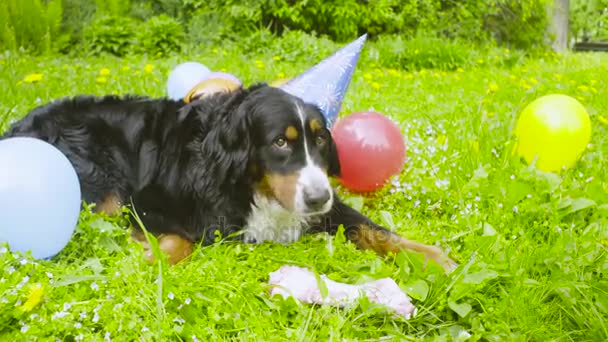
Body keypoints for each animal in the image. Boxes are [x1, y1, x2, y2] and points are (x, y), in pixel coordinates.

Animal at [1, 84, 456, 272]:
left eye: (321, 140)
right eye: (280, 142)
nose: (317, 199)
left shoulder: (326, 204)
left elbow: (372, 228)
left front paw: (431, 256)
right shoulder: (144, 202)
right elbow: (180, 240)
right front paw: (147, 256)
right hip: (104, 186)